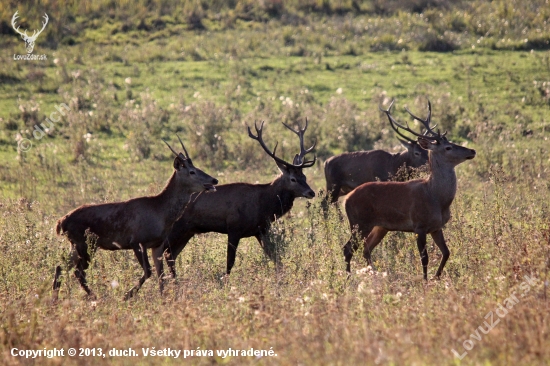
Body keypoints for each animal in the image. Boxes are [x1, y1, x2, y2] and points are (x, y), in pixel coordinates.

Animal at [52, 137, 219, 300]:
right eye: (192, 171)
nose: (214, 180)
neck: (161, 213)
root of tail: (61, 222)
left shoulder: (158, 244)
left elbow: (161, 275)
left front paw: (164, 299)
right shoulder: (136, 240)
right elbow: (149, 271)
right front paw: (126, 295)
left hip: (76, 244)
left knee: (61, 266)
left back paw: (55, 299)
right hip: (85, 242)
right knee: (77, 271)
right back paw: (95, 296)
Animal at [162, 121, 316, 280]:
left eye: (304, 177)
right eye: (293, 179)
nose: (311, 192)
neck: (264, 206)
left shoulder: (261, 230)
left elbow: (275, 258)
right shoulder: (234, 227)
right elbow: (230, 262)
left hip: (188, 231)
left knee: (170, 255)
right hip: (176, 229)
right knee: (166, 254)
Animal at [342, 100, 476, 278]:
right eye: (448, 147)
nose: (472, 150)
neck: (437, 199)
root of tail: (346, 199)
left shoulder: (437, 227)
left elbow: (447, 252)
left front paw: (436, 277)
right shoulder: (420, 225)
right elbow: (424, 258)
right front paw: (425, 280)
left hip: (380, 226)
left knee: (366, 248)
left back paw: (374, 274)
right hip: (359, 222)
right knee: (348, 248)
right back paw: (348, 278)